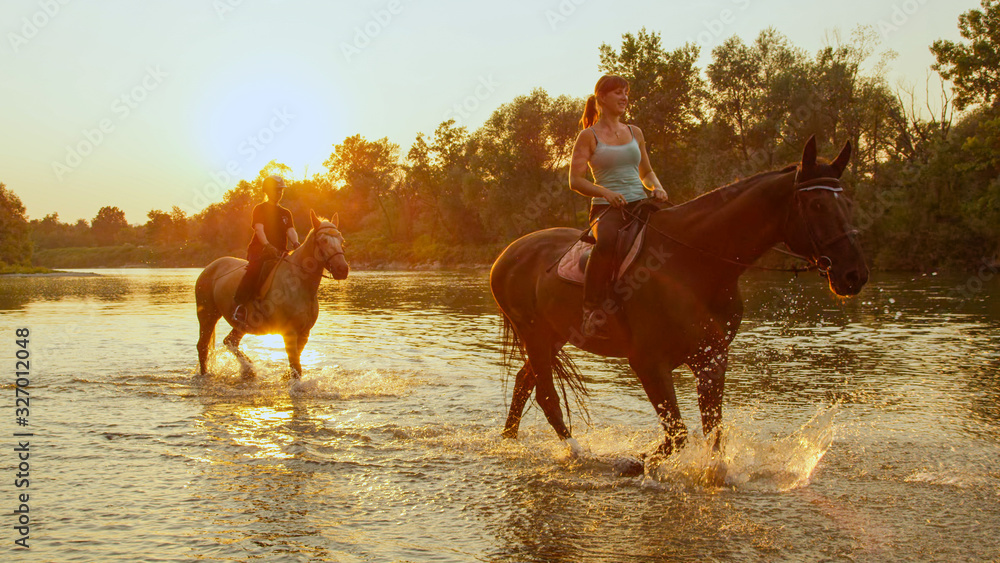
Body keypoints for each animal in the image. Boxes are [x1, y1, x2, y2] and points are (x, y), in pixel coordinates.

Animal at [196, 213, 352, 384]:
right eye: (323, 241)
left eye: (341, 240)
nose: (342, 269)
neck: (299, 283)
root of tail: (210, 267)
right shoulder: (289, 332)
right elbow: (296, 367)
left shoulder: (304, 332)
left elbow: (295, 365)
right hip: (207, 315)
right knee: (203, 346)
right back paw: (207, 375)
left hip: (242, 324)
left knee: (230, 341)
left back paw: (249, 370)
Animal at [492, 135, 868, 458]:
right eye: (816, 204)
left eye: (849, 202)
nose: (855, 275)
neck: (693, 260)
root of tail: (508, 253)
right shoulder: (648, 362)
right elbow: (678, 436)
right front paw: (639, 462)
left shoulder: (712, 358)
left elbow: (712, 434)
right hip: (534, 334)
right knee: (545, 394)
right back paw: (575, 451)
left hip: (554, 336)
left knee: (524, 383)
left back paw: (509, 440)